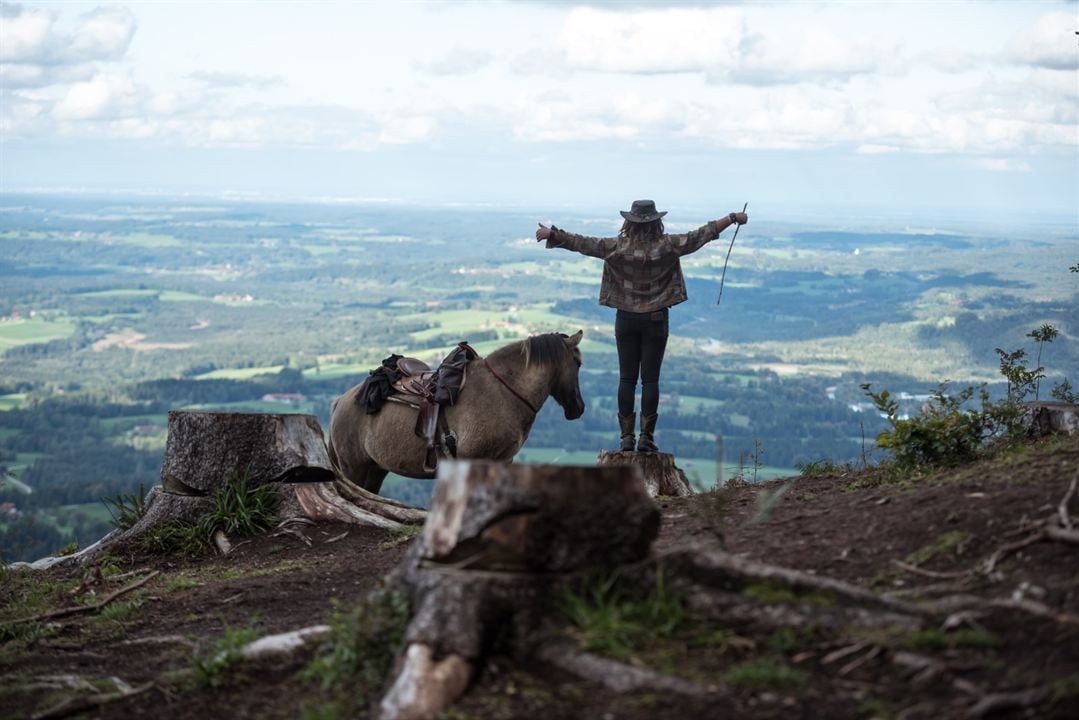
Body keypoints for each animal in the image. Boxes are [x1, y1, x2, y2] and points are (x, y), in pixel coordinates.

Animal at [328, 330, 586, 492]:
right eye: (578, 363)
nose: (579, 408)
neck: (502, 391)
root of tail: (340, 401)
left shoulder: (504, 460)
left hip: (376, 469)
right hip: (354, 468)